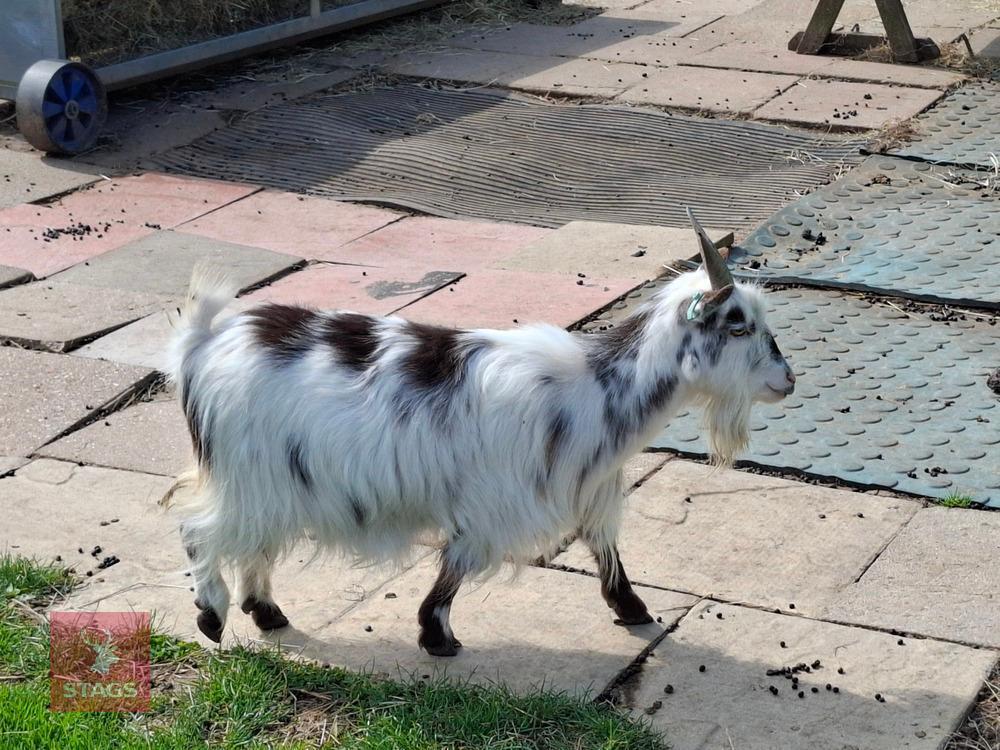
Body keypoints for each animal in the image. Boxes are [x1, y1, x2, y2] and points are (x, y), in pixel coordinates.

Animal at [163, 210, 795, 654]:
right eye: (738, 325)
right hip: (250, 477)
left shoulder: (588, 488)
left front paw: (632, 608)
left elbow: (605, 549)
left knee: (252, 544)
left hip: (269, 483)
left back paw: (266, 612)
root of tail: (203, 344)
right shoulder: (494, 501)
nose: (787, 380)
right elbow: (458, 564)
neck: (599, 389)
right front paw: (436, 636)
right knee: (198, 532)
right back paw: (212, 615)